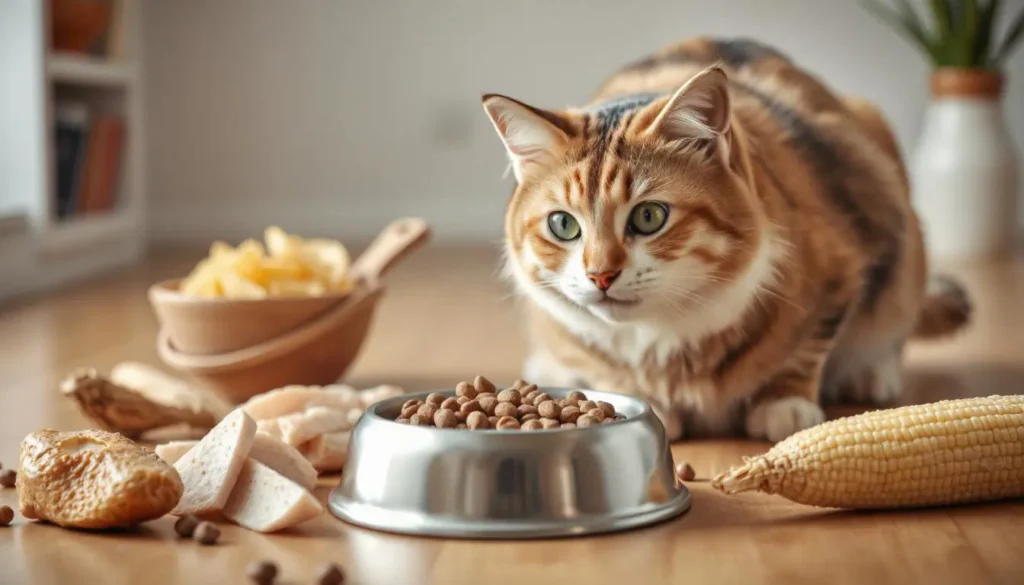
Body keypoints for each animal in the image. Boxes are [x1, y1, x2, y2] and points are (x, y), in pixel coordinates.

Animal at [479, 37, 966, 438]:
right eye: (563, 225)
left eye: (649, 216)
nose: (601, 276)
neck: (665, 338)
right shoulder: (565, 329)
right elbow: (604, 367)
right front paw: (644, 401)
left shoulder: (842, 266)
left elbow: (807, 347)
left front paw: (784, 404)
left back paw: (870, 376)